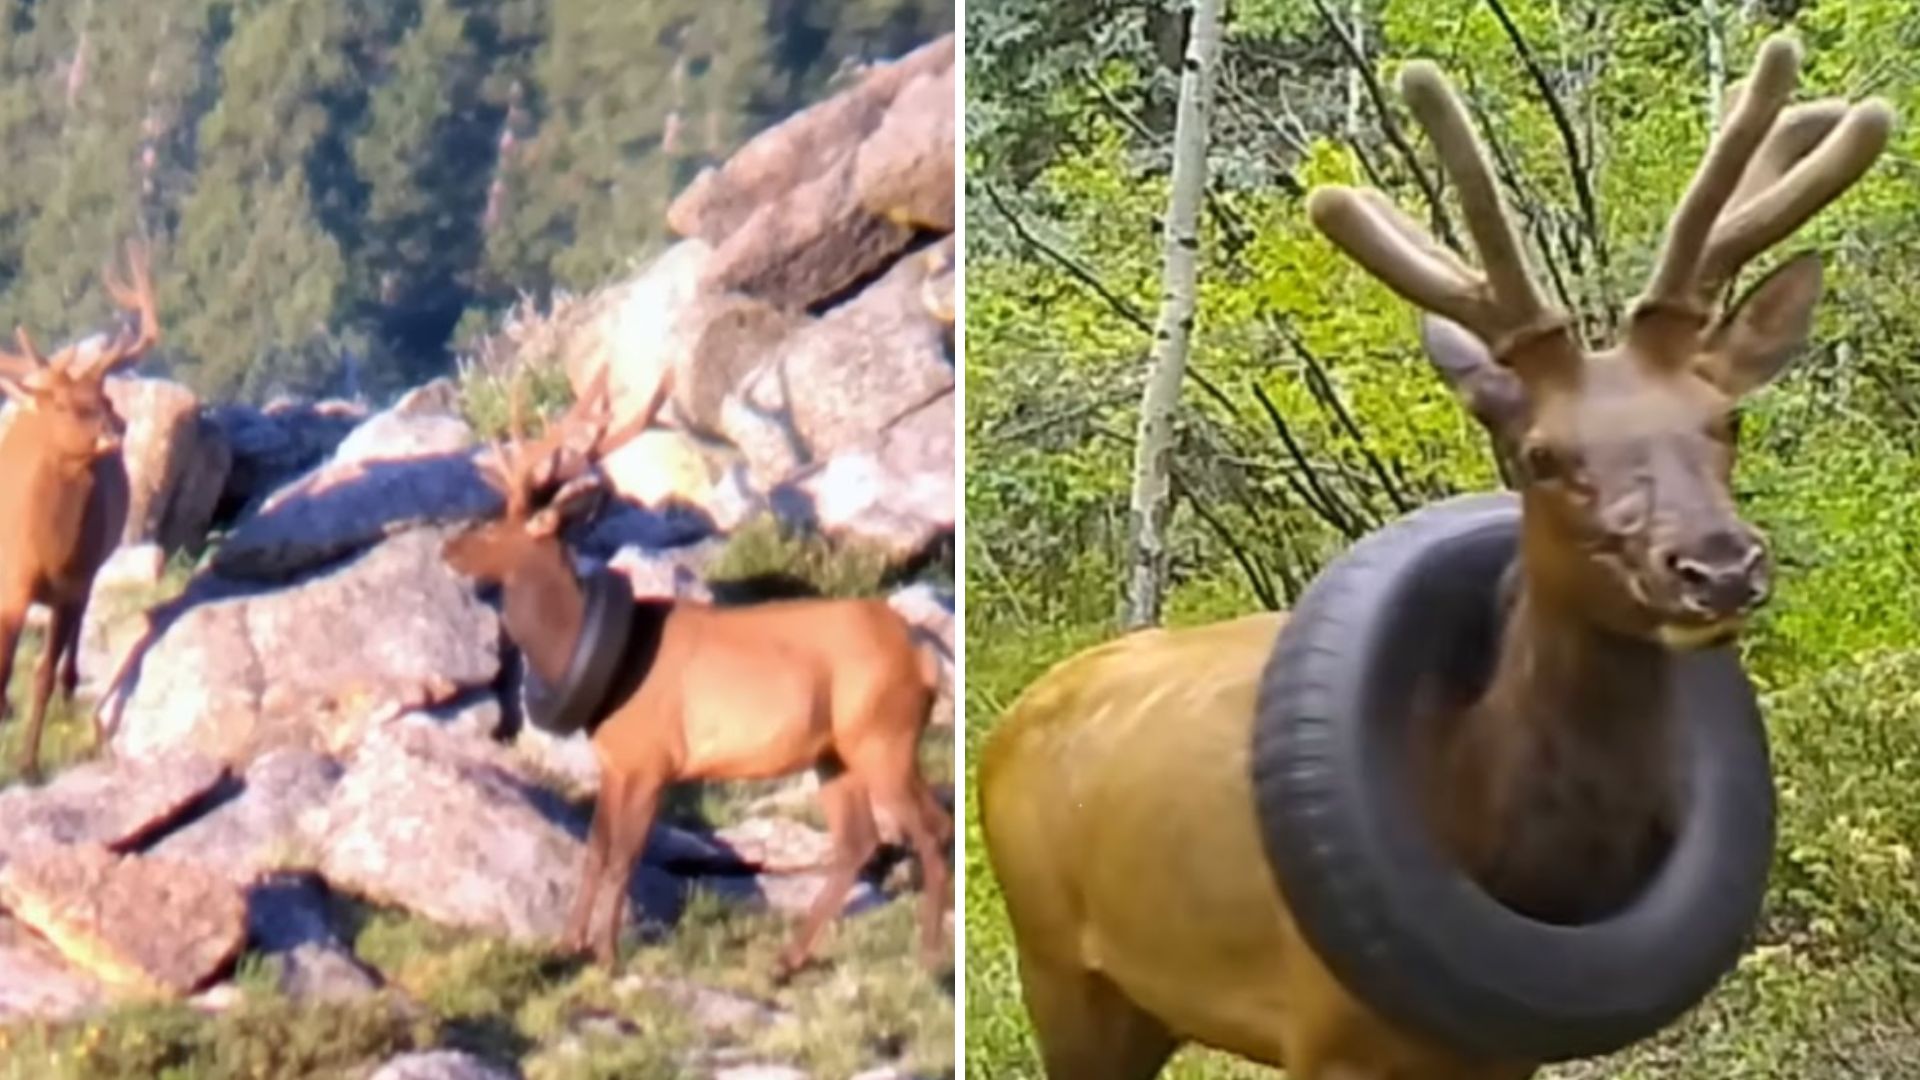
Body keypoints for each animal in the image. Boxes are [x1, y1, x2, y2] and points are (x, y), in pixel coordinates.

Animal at [0, 242, 160, 783]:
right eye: (68, 407)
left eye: (105, 395)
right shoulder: (11, 583)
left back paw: (70, 693)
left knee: (71, 644)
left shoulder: (72, 581)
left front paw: (28, 765)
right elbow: (4, 668)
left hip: (90, 574)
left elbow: (41, 674)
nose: (118, 429)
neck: (47, 550)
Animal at [440, 375, 953, 977]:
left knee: (930, 827)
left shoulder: (654, 759)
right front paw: (568, 946)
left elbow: (625, 856)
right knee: (859, 842)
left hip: (883, 736)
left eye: (501, 525)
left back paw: (928, 958)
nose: (449, 547)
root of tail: (922, 655)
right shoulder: (616, 760)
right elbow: (595, 851)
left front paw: (607, 954)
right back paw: (787, 959)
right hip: (835, 753)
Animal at [978, 35, 1889, 1080]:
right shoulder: (1322, 1031)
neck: (1497, 831)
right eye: (1541, 454)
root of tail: (1011, 723)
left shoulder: (1502, 1049)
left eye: (1725, 418)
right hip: (1058, 966)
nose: (1718, 565)